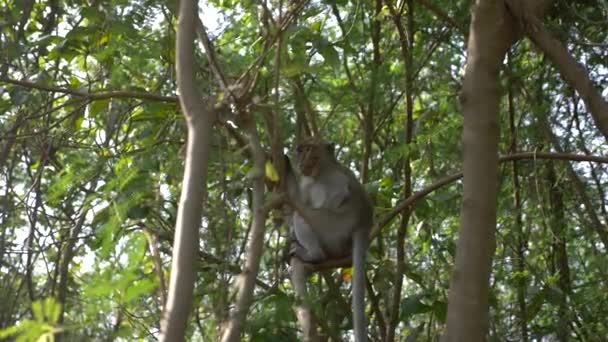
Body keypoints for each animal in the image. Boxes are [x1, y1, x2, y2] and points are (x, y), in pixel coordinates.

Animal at [284, 138, 372, 342]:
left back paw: (313, 255)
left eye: (309, 149)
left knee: (303, 216)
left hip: (333, 230)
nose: (301, 160)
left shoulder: (332, 177)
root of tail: (364, 224)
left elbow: (339, 193)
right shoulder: (307, 182)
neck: (318, 172)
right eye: (301, 150)